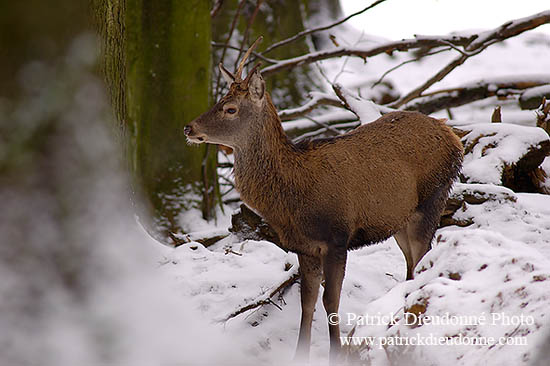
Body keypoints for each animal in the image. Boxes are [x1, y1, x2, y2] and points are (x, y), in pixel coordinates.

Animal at [185, 38, 466, 364]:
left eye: (230, 108)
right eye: (217, 101)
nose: (188, 128)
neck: (292, 195)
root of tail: (453, 135)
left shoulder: (337, 236)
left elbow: (331, 300)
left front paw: (337, 353)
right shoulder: (304, 245)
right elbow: (307, 301)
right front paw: (300, 354)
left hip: (433, 197)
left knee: (422, 261)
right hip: (399, 220)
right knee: (410, 266)